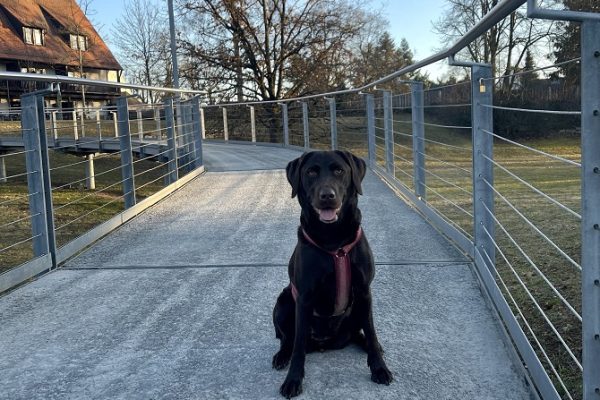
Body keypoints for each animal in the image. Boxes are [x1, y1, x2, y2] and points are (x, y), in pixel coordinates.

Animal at [274, 150, 394, 396]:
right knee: (287, 339)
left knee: (360, 333)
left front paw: (379, 368)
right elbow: (298, 345)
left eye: (339, 170)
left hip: (356, 307)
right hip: (283, 301)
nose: (327, 196)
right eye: (311, 172)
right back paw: (281, 356)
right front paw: (293, 380)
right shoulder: (304, 297)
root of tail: (324, 343)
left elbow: (371, 330)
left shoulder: (364, 291)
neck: (333, 241)